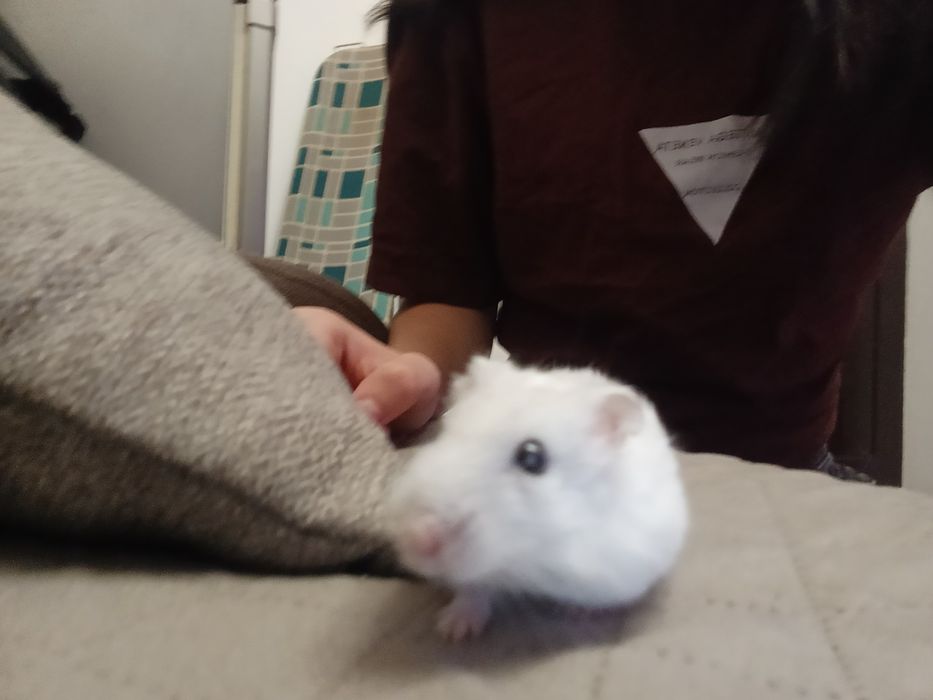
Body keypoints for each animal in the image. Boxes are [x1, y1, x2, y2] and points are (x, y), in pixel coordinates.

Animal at [386, 356, 689, 641]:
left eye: (532, 457)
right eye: (445, 433)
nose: (418, 538)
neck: (533, 556)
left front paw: (576, 612)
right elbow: (474, 590)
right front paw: (452, 630)